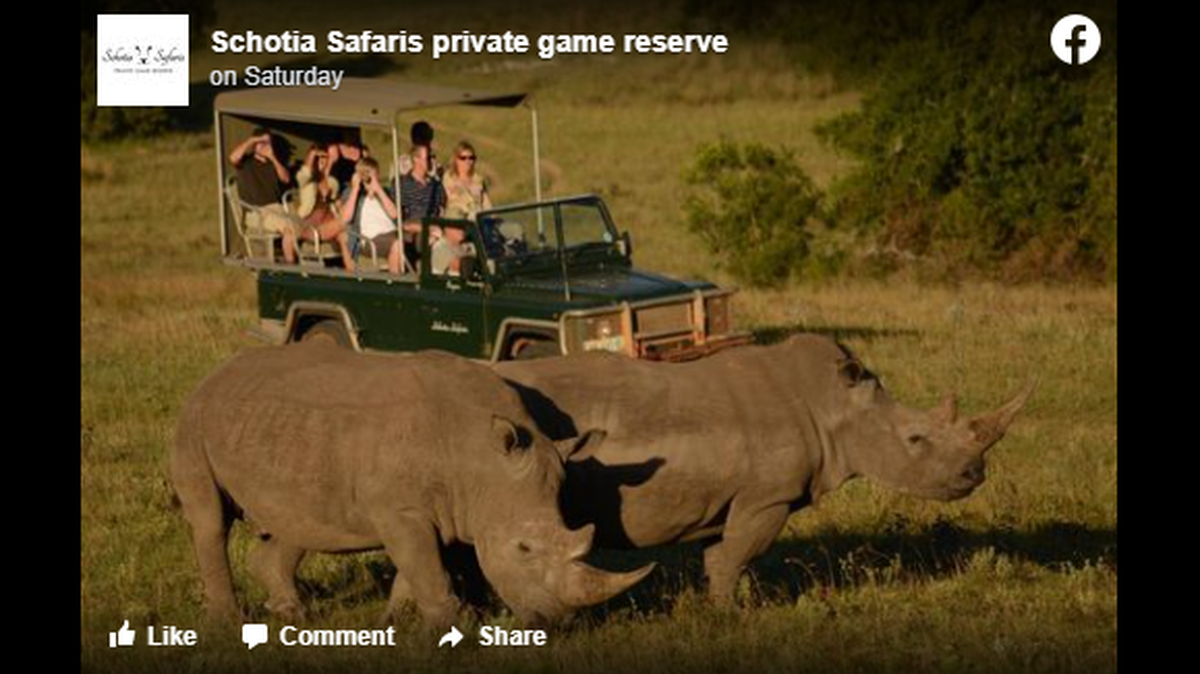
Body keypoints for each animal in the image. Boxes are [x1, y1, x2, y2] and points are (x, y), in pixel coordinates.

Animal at [171, 342, 653, 626]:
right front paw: (453, 626)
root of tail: (214, 373)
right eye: (524, 549)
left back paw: (291, 614)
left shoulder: (459, 505)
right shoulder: (402, 509)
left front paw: (399, 620)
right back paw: (229, 622)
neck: (482, 458)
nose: (556, 622)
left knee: (298, 520)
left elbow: (421, 563)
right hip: (193, 421)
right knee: (210, 520)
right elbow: (423, 561)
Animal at [496, 334, 1034, 603]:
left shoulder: (725, 495)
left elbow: (720, 557)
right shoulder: (767, 497)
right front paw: (729, 619)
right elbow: (731, 559)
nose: (974, 474)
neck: (832, 406)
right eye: (916, 440)